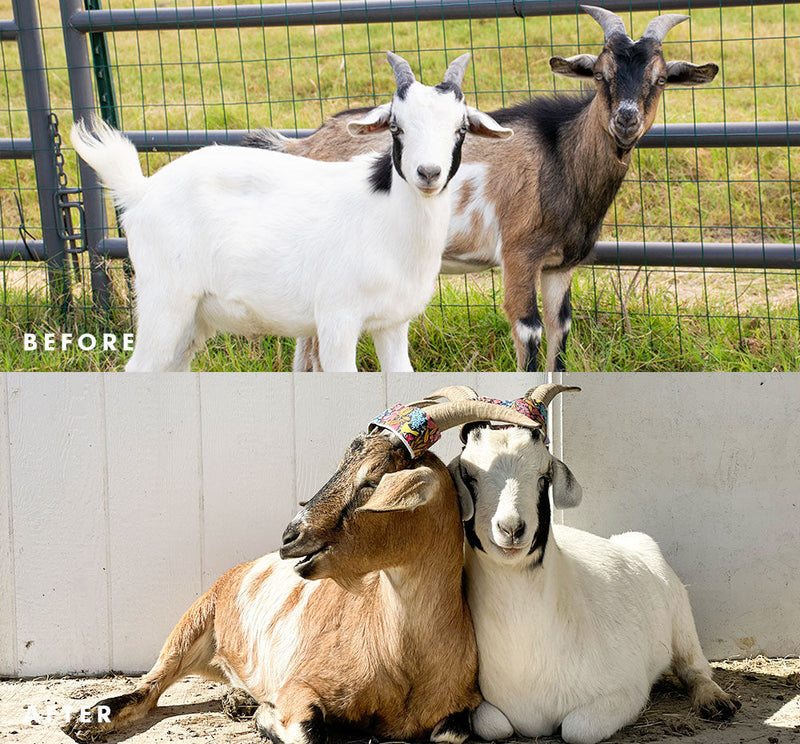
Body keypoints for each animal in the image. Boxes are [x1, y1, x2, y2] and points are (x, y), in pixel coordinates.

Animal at [64, 395, 540, 744]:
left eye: (371, 481)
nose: (290, 536)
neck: (400, 657)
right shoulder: (300, 686)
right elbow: (308, 729)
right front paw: (264, 716)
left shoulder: (460, 708)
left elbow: (450, 734)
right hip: (192, 622)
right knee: (149, 688)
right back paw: (85, 721)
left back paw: (235, 700)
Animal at [70, 53, 512, 372]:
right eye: (395, 127)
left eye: (460, 129)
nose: (428, 173)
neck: (384, 220)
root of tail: (141, 190)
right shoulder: (337, 318)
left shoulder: (392, 323)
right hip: (165, 298)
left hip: (193, 318)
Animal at [246, 6, 718, 372]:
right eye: (600, 75)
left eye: (660, 79)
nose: (625, 120)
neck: (558, 157)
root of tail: (302, 145)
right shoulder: (519, 255)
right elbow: (529, 335)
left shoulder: (561, 266)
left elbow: (559, 336)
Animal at [440, 383, 740, 744]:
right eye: (469, 475)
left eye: (543, 476)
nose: (512, 529)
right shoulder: (483, 706)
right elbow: (492, 724)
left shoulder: (626, 692)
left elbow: (576, 729)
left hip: (683, 623)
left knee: (696, 668)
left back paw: (716, 701)